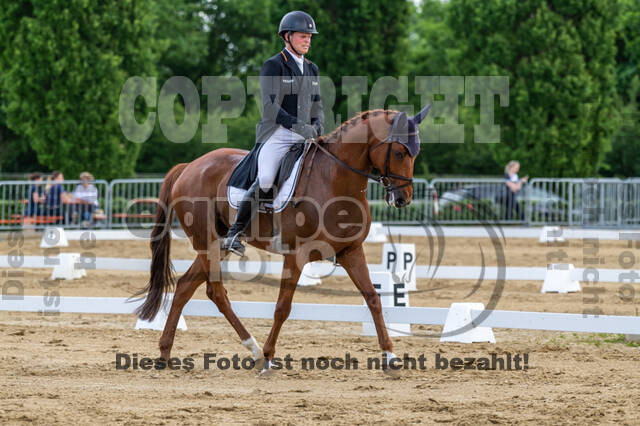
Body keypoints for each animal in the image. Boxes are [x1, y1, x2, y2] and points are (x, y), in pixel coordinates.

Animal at [133, 106, 430, 375]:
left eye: (416, 153)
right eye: (399, 152)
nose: (402, 199)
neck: (334, 180)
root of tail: (189, 167)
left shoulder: (351, 251)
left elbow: (373, 298)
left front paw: (390, 357)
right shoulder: (296, 255)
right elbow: (282, 308)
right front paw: (267, 357)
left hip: (218, 245)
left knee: (185, 287)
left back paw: (164, 354)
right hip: (207, 243)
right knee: (215, 292)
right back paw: (253, 350)